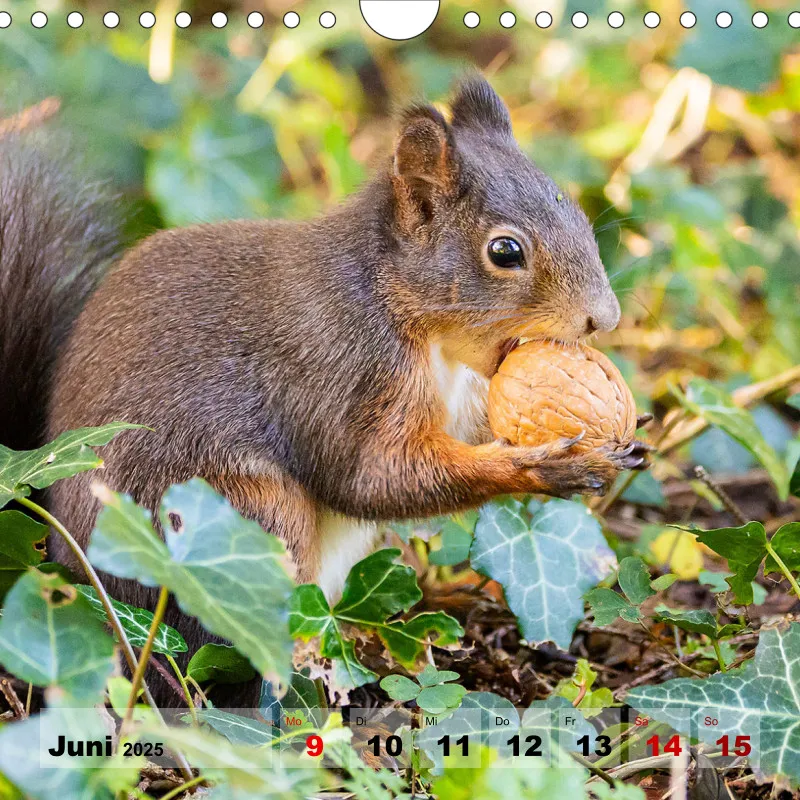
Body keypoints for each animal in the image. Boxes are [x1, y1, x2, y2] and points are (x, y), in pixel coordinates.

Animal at [1, 78, 647, 707]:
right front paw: (544, 465)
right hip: (242, 519)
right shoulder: (343, 366)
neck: (413, 318)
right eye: (505, 251)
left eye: (580, 217)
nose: (605, 318)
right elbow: (368, 477)